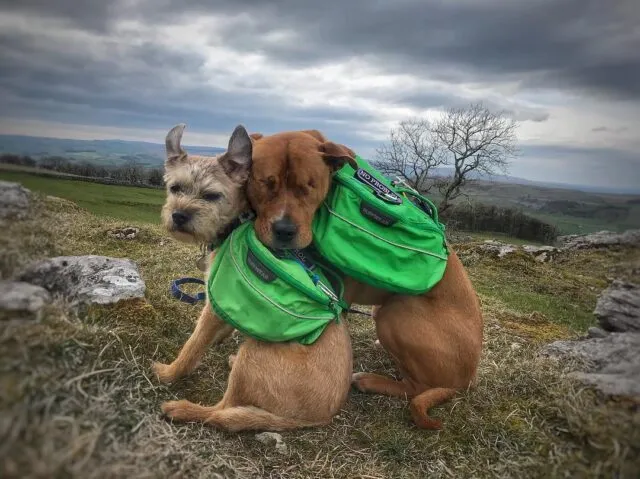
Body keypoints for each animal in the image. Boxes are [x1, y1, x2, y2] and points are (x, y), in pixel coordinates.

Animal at [152, 125, 352, 434]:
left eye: (212, 195)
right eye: (175, 188)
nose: (179, 215)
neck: (239, 221)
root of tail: (318, 417)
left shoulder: (213, 305)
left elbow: (192, 346)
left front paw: (170, 373)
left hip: (254, 354)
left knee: (222, 413)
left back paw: (183, 409)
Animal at [248, 129, 482, 430]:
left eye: (309, 186)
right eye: (266, 183)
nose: (285, 231)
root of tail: (467, 379)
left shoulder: (338, 295)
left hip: (396, 313)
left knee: (416, 387)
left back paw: (371, 381)